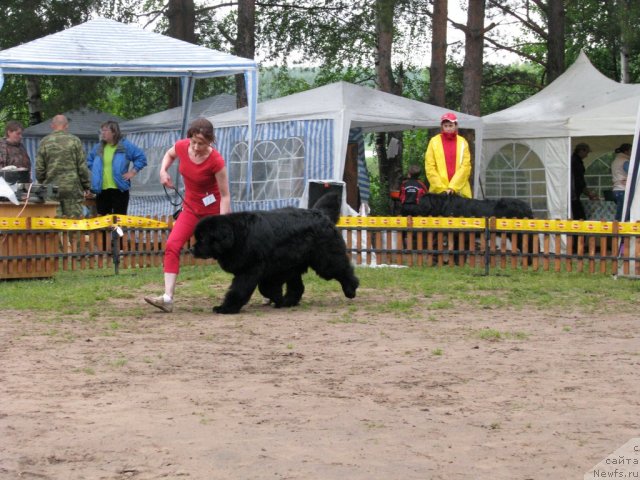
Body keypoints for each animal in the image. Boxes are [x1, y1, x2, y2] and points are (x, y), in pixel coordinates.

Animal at [190, 193, 360, 314]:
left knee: (343, 270)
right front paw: (278, 298)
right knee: (298, 287)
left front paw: (226, 308)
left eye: (202, 238)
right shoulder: (274, 269)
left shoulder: (251, 270)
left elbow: (241, 289)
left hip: (325, 260)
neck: (237, 236)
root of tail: (320, 213)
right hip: (295, 264)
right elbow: (266, 288)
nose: (192, 249)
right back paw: (288, 301)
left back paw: (351, 290)